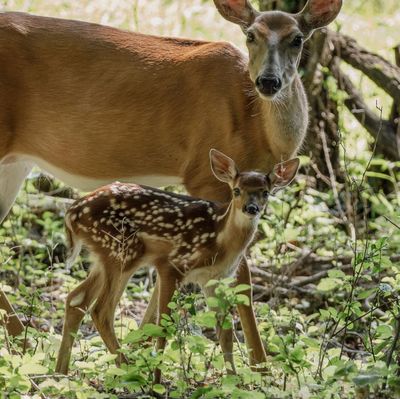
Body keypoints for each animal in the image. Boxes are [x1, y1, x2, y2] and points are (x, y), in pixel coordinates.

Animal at [55, 149, 300, 378]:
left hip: (104, 256)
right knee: (101, 310)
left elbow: (225, 330)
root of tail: (71, 214)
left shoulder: (213, 278)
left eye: (265, 192)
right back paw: (129, 370)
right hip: (123, 251)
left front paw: (234, 381)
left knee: (76, 299)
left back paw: (60, 373)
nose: (251, 208)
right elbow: (163, 325)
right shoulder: (171, 264)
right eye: (236, 190)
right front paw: (156, 380)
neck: (219, 240)